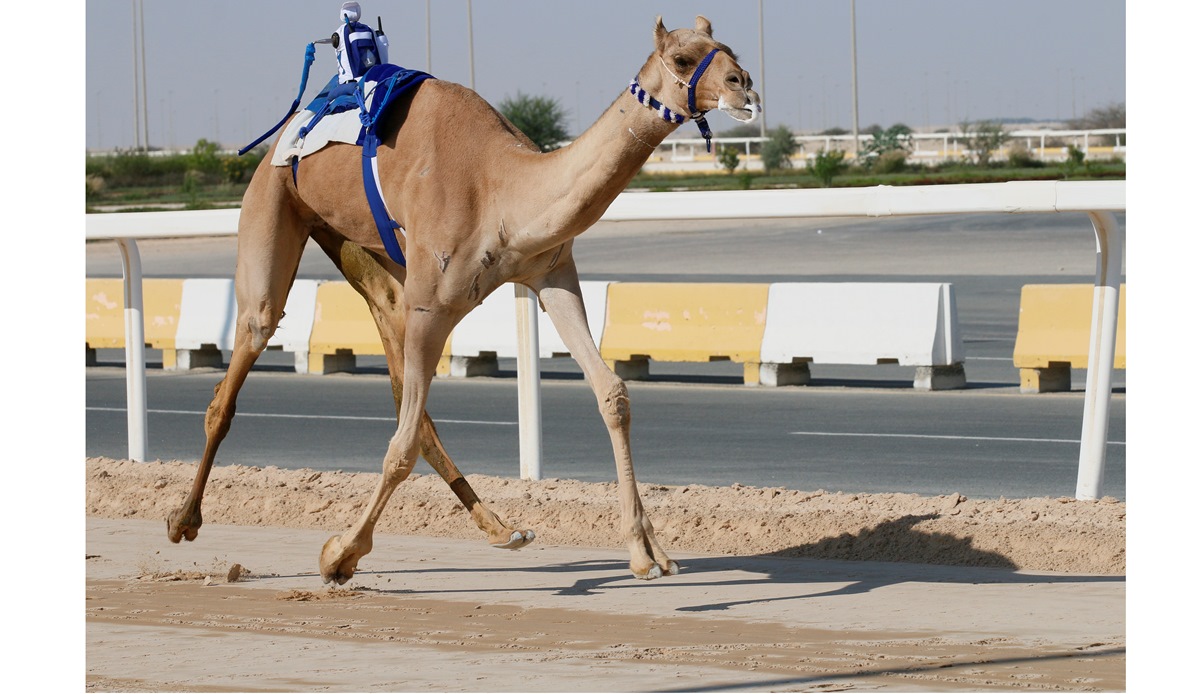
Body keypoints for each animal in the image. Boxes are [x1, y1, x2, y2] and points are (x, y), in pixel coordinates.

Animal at [166, 13, 758, 581]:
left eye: (727, 48)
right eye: (683, 58)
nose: (744, 84)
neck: (503, 188)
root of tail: (288, 128)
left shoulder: (552, 275)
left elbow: (612, 394)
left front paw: (648, 552)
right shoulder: (433, 305)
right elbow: (400, 445)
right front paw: (338, 554)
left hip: (362, 251)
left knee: (395, 360)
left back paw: (503, 528)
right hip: (275, 202)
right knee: (245, 354)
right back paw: (183, 519)